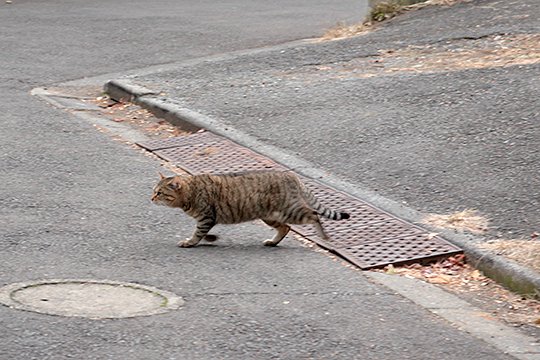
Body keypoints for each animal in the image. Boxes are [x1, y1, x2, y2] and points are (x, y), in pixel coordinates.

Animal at [151, 171, 350, 248]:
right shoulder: (207, 219)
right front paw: (210, 238)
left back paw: (324, 236)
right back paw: (273, 242)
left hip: (292, 211)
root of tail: (292, 175)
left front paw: (190, 242)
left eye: (160, 193)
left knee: (314, 215)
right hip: (270, 216)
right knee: (285, 228)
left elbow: (198, 233)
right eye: (154, 191)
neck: (190, 193)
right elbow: (204, 233)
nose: (151, 198)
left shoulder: (206, 217)